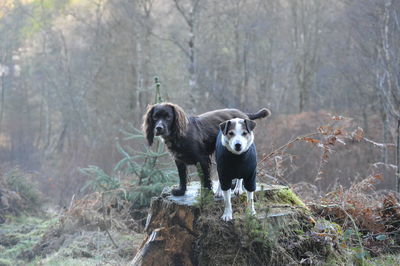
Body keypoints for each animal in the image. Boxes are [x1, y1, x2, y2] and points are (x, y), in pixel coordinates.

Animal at [142, 103, 270, 196]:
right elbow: (182, 177)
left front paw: (207, 193)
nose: (159, 128)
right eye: (155, 117)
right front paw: (181, 191)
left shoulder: (203, 159)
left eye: (168, 117)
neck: (179, 135)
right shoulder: (179, 160)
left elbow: (206, 179)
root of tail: (244, 114)